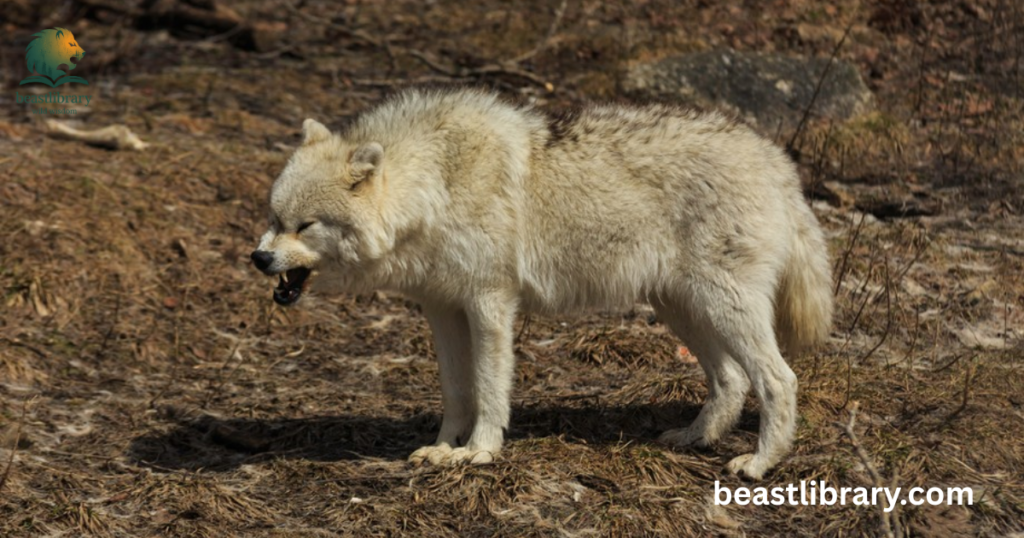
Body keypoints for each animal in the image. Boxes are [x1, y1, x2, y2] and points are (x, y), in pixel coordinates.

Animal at [251, 87, 833, 480]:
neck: (435, 185)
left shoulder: (489, 304)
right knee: (731, 380)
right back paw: (693, 438)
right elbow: (455, 391)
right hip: (682, 309)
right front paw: (443, 448)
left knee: (779, 380)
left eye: (306, 226)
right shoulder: (442, 310)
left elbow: (489, 388)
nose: (258, 257)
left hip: (720, 307)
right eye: (274, 217)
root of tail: (777, 160)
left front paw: (480, 452)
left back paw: (758, 463)